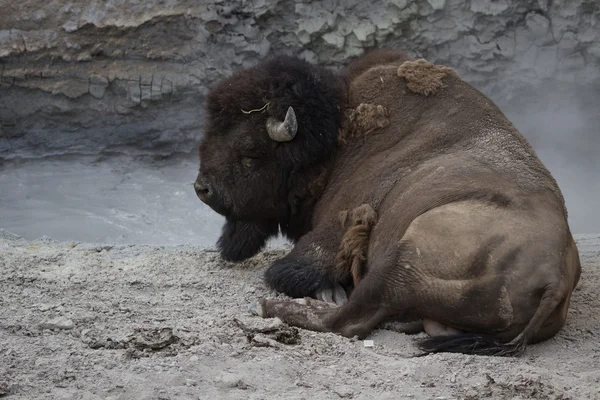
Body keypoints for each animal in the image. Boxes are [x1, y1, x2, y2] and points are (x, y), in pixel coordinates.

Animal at [196, 48, 580, 354]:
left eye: (250, 154)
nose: (203, 189)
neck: (334, 140)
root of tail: (556, 277)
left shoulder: (333, 232)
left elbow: (287, 270)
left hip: (403, 258)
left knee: (348, 320)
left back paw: (279, 307)